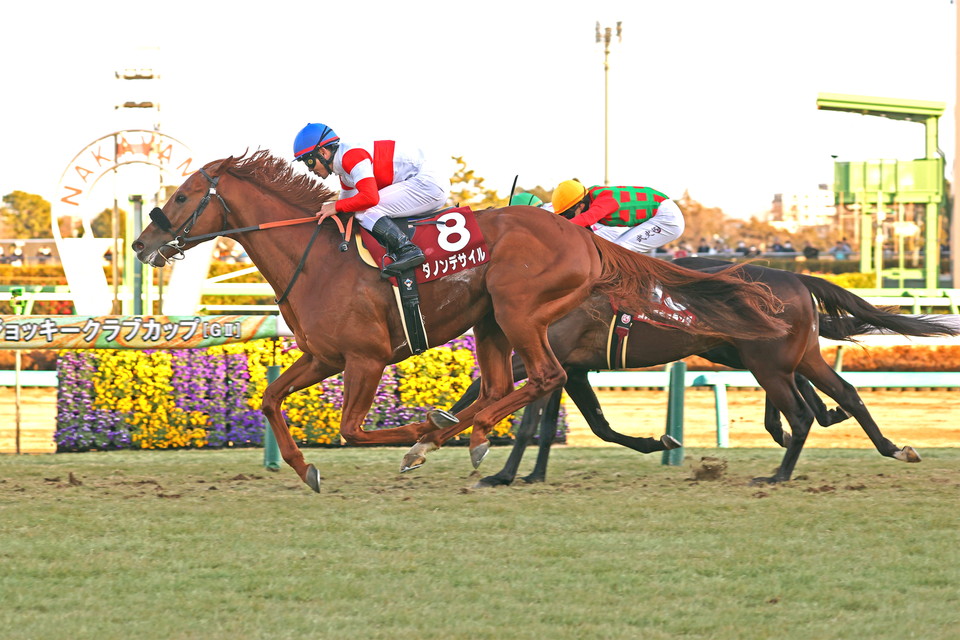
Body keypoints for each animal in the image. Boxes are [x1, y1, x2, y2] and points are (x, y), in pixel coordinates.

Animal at [131, 150, 788, 492]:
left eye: (184, 196)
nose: (141, 243)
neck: (316, 258)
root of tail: (582, 237)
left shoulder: (367, 359)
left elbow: (354, 430)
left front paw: (420, 435)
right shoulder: (323, 356)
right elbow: (270, 400)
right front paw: (305, 468)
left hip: (519, 310)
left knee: (542, 377)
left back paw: (461, 436)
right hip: (493, 321)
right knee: (502, 387)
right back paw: (468, 434)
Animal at [447, 259, 958, 486]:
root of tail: (796, 277)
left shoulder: (554, 361)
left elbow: (528, 418)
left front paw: (500, 473)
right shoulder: (571, 368)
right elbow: (592, 424)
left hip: (766, 361)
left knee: (800, 413)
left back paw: (778, 474)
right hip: (799, 355)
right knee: (846, 393)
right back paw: (894, 448)